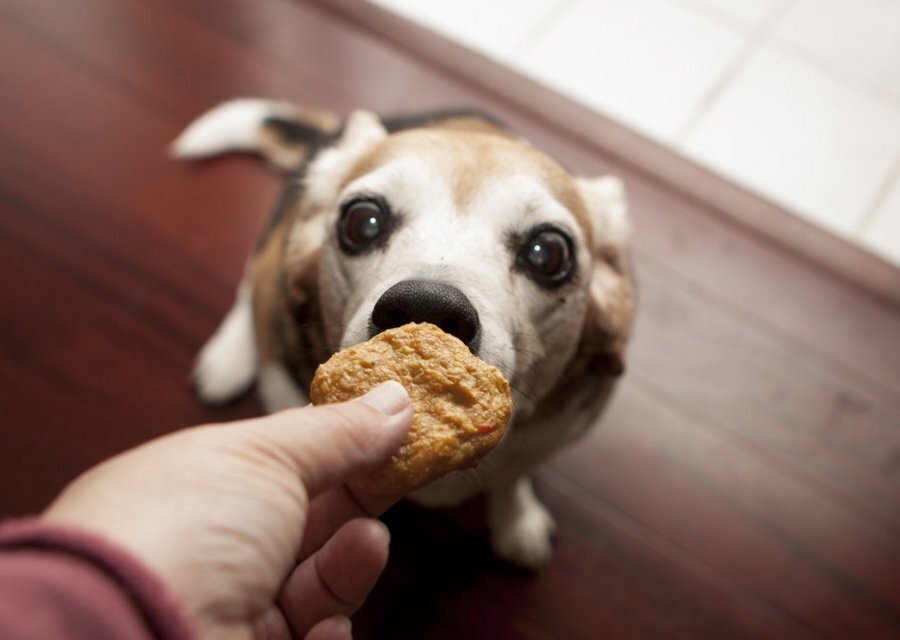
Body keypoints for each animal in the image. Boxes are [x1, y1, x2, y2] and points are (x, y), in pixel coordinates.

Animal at [172, 101, 636, 568]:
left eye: (548, 253)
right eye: (363, 222)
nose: (425, 306)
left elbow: (512, 478)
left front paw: (517, 522)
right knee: (253, 281)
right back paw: (229, 357)